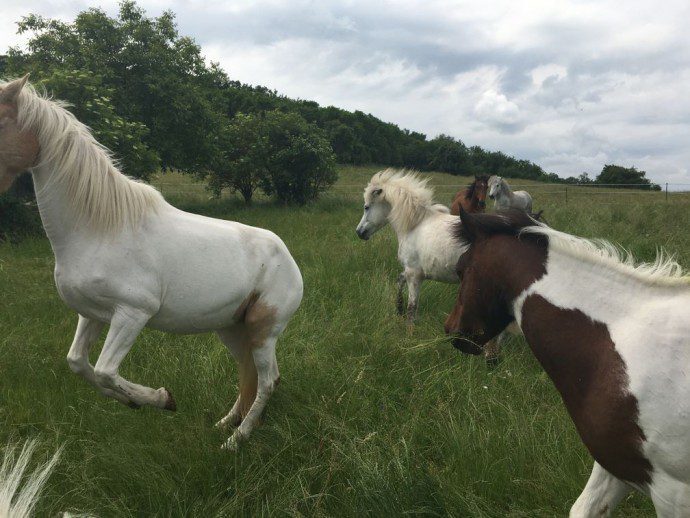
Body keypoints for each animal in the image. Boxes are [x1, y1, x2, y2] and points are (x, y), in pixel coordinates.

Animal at [0, 76, 300, 450]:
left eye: (0, 120)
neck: (99, 228)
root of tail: (287, 256)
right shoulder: (92, 314)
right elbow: (79, 364)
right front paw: (132, 401)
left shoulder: (132, 314)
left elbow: (105, 371)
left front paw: (162, 399)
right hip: (231, 328)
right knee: (251, 375)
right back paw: (226, 425)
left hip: (263, 330)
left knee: (268, 380)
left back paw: (235, 440)